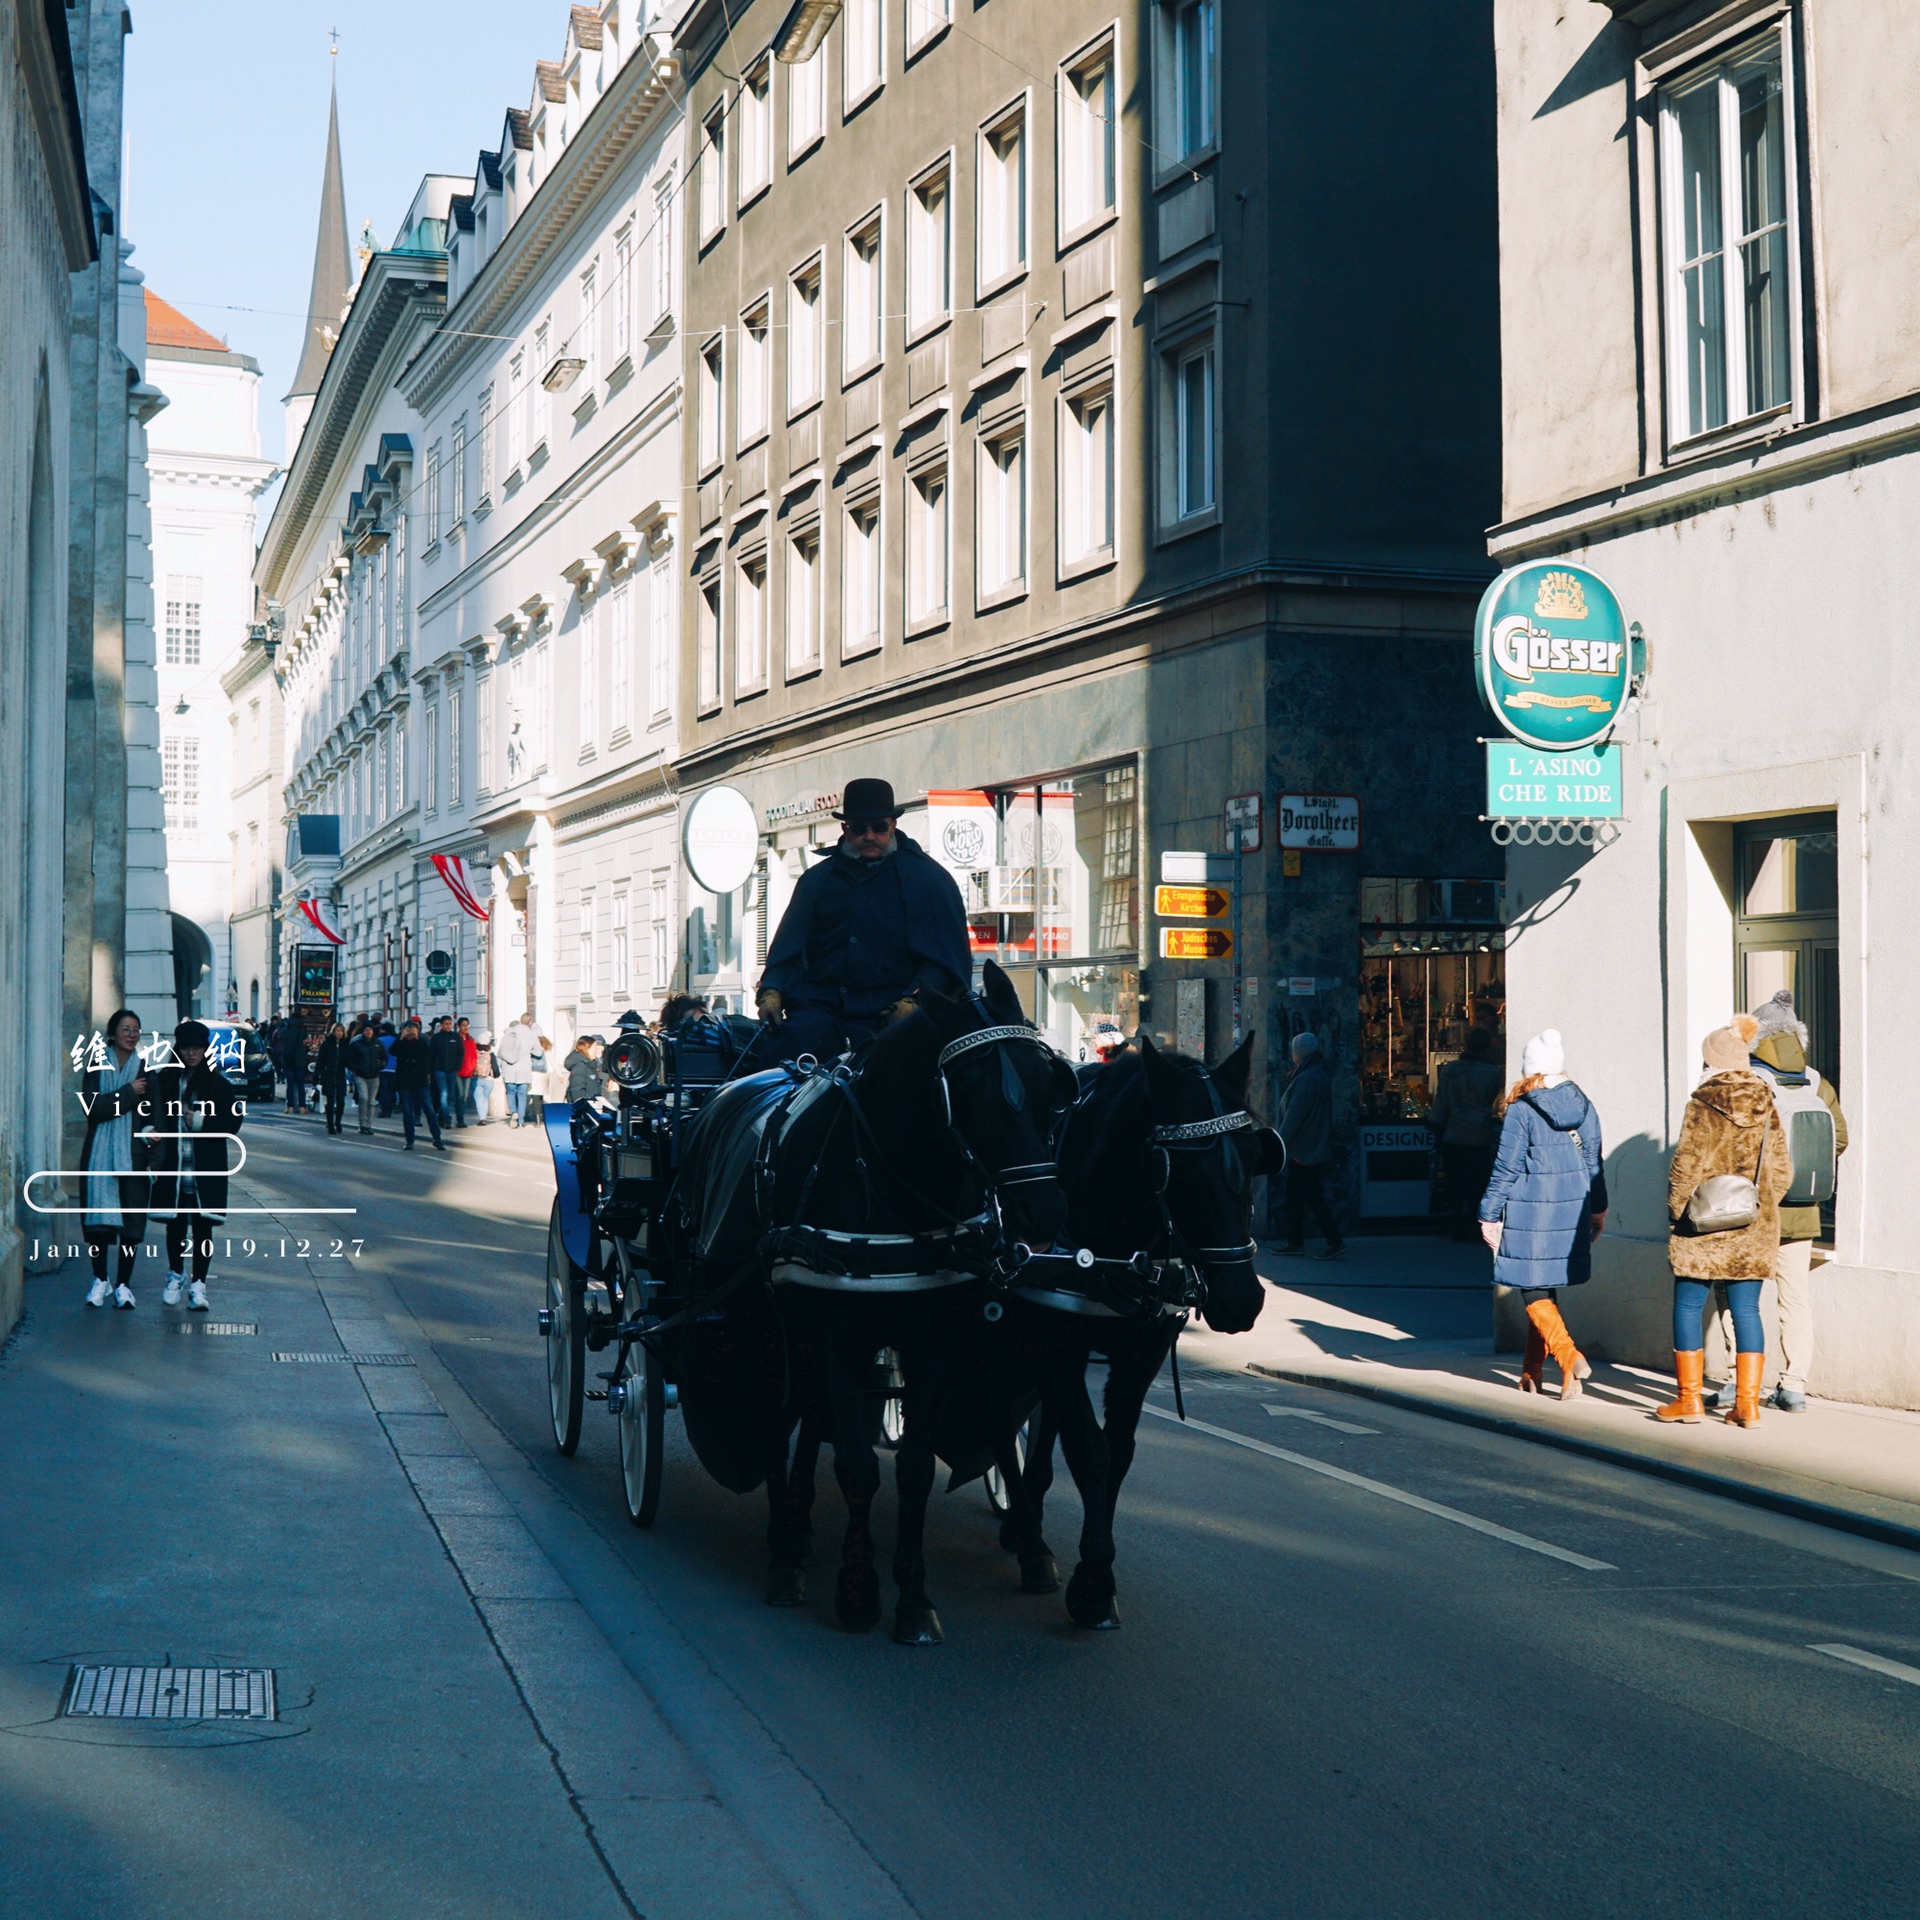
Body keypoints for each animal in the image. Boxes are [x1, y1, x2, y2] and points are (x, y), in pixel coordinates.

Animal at [983, 1036, 1282, 1635]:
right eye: (1177, 1169)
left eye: (1253, 1155)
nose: (1242, 1298)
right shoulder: (1054, 1340)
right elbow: (1089, 1449)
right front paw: (1094, 1582)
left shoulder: (1141, 1350)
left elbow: (1117, 1449)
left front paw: (1094, 1567)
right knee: (1001, 1422)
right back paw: (1028, 1537)